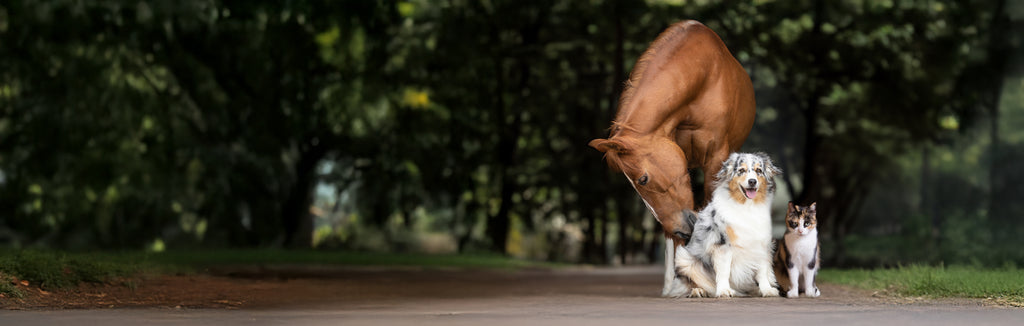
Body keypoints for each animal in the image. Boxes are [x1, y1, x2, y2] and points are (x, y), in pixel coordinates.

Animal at [675, 152, 778, 297]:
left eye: (758, 171)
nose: (752, 181)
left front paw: (767, 289)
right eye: (741, 170)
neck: (747, 207)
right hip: (684, 258)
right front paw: (724, 290)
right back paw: (698, 290)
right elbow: (724, 271)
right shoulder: (722, 244)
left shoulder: (762, 244)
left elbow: (762, 270)